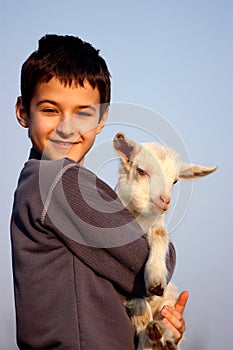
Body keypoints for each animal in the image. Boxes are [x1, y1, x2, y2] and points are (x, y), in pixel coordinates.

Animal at [113, 132, 217, 350]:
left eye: (175, 181)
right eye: (141, 171)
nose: (164, 200)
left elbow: (160, 233)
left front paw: (156, 278)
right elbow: (138, 300)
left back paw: (162, 338)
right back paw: (152, 335)